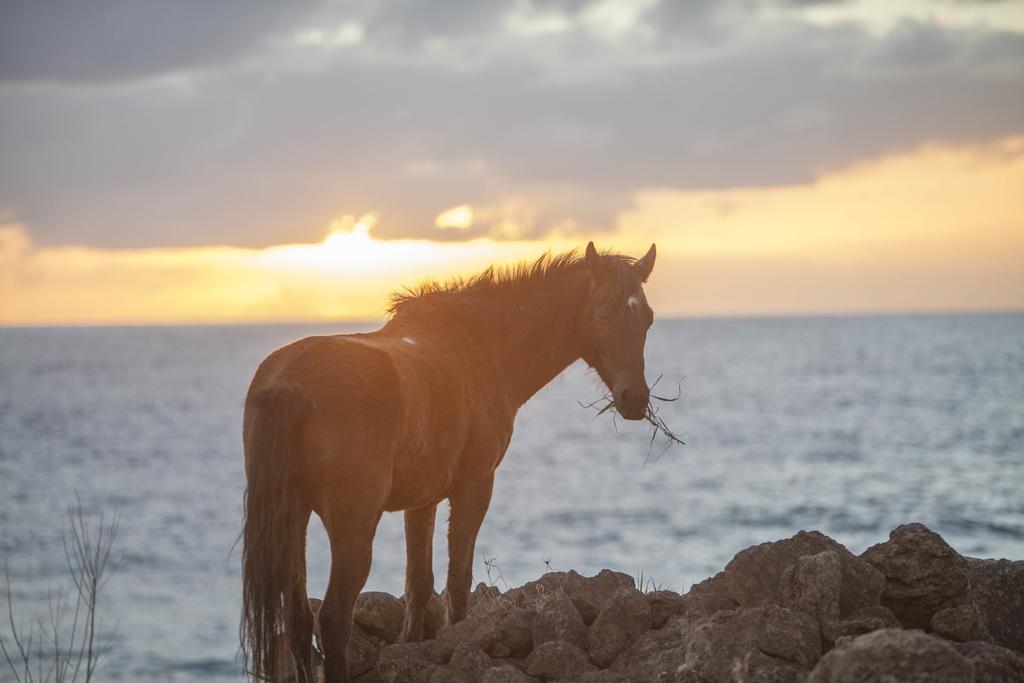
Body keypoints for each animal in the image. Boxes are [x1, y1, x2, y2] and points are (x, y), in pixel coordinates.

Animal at [239, 240, 655, 679]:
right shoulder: (475, 486)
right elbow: (458, 580)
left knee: (299, 618)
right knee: (332, 619)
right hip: (353, 524)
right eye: (603, 314)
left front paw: (410, 646)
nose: (634, 398)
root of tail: (288, 386)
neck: (482, 344)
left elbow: (419, 582)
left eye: (646, 319)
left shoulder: (421, 500)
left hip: (293, 517)